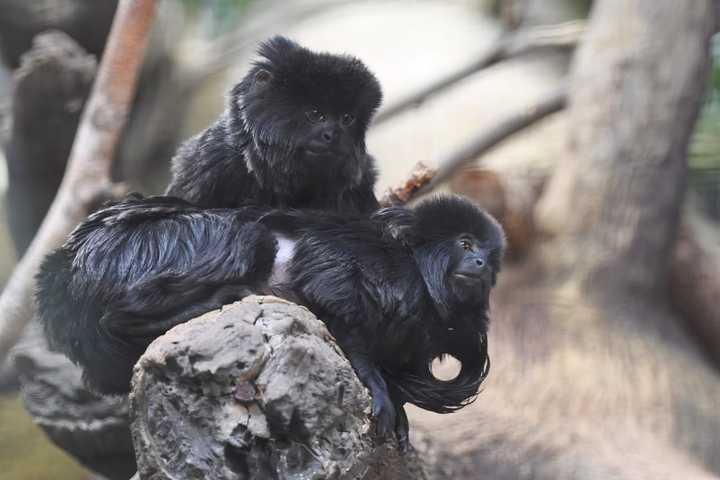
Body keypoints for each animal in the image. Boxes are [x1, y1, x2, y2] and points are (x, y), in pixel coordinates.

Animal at [36, 193, 504, 448]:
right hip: (153, 246)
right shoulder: (371, 261)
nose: (481, 263)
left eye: (488, 254)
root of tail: (70, 264)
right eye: (465, 244)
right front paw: (373, 380)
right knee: (247, 236)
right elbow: (325, 283)